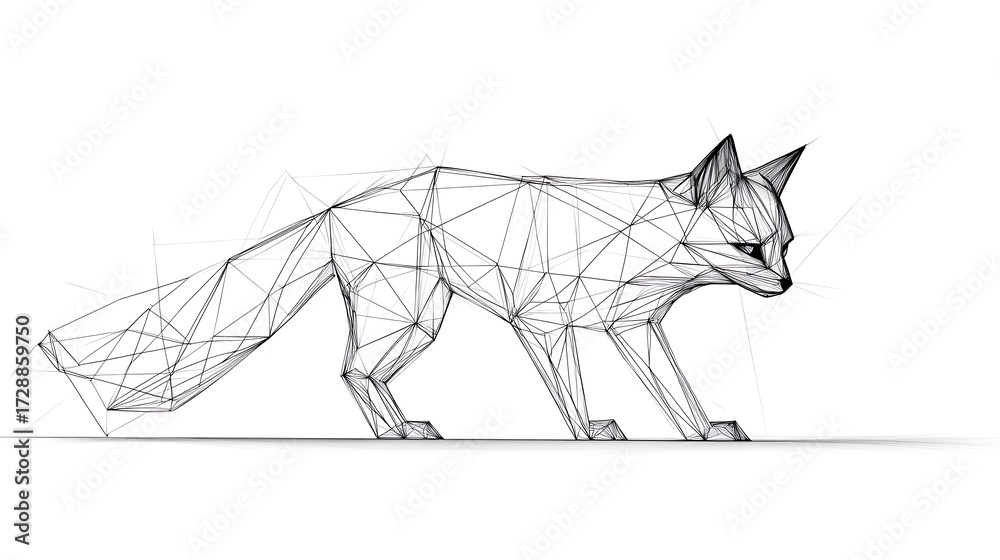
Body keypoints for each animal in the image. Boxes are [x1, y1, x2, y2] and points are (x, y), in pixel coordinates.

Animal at [40, 135, 804, 440]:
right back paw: (397, 432)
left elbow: (677, 392)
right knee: (349, 368)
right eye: (747, 247)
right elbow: (574, 395)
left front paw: (705, 432)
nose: (787, 285)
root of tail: (336, 208)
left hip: (419, 320)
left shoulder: (634, 328)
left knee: (355, 369)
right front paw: (591, 431)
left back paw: (401, 429)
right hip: (408, 318)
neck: (633, 242)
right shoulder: (545, 325)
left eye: (786, 246)